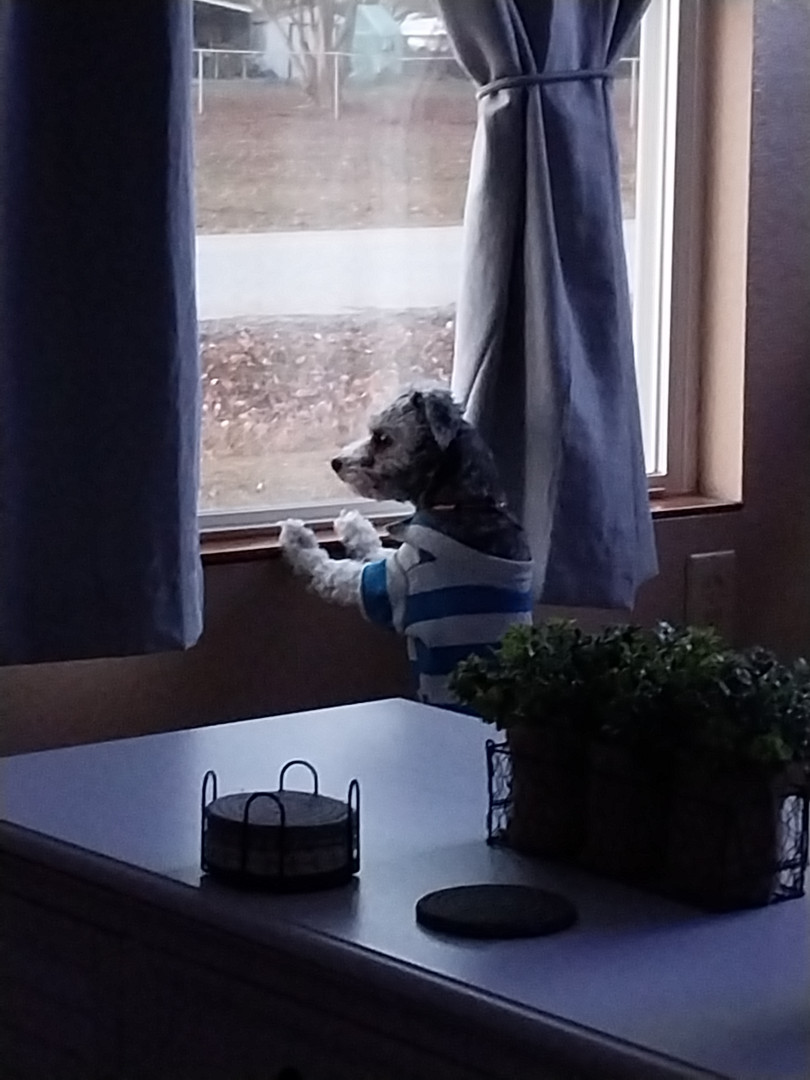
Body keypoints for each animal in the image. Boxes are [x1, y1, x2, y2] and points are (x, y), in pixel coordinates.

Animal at [279, 387, 533, 709]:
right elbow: (373, 549)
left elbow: (332, 570)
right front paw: (353, 524)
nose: (336, 462)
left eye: (382, 437)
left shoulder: (390, 586)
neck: (464, 503)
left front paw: (298, 537)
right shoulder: (398, 559)